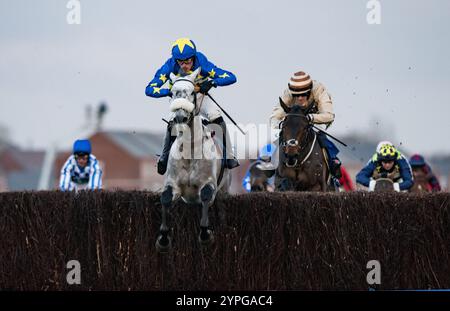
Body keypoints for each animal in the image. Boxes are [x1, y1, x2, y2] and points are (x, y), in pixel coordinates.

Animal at [156, 68, 232, 254]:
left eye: (191, 92)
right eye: (172, 93)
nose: (180, 117)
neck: (190, 151)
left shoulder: (209, 184)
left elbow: (205, 196)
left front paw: (206, 235)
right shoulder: (173, 184)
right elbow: (165, 198)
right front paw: (163, 239)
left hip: (225, 189)